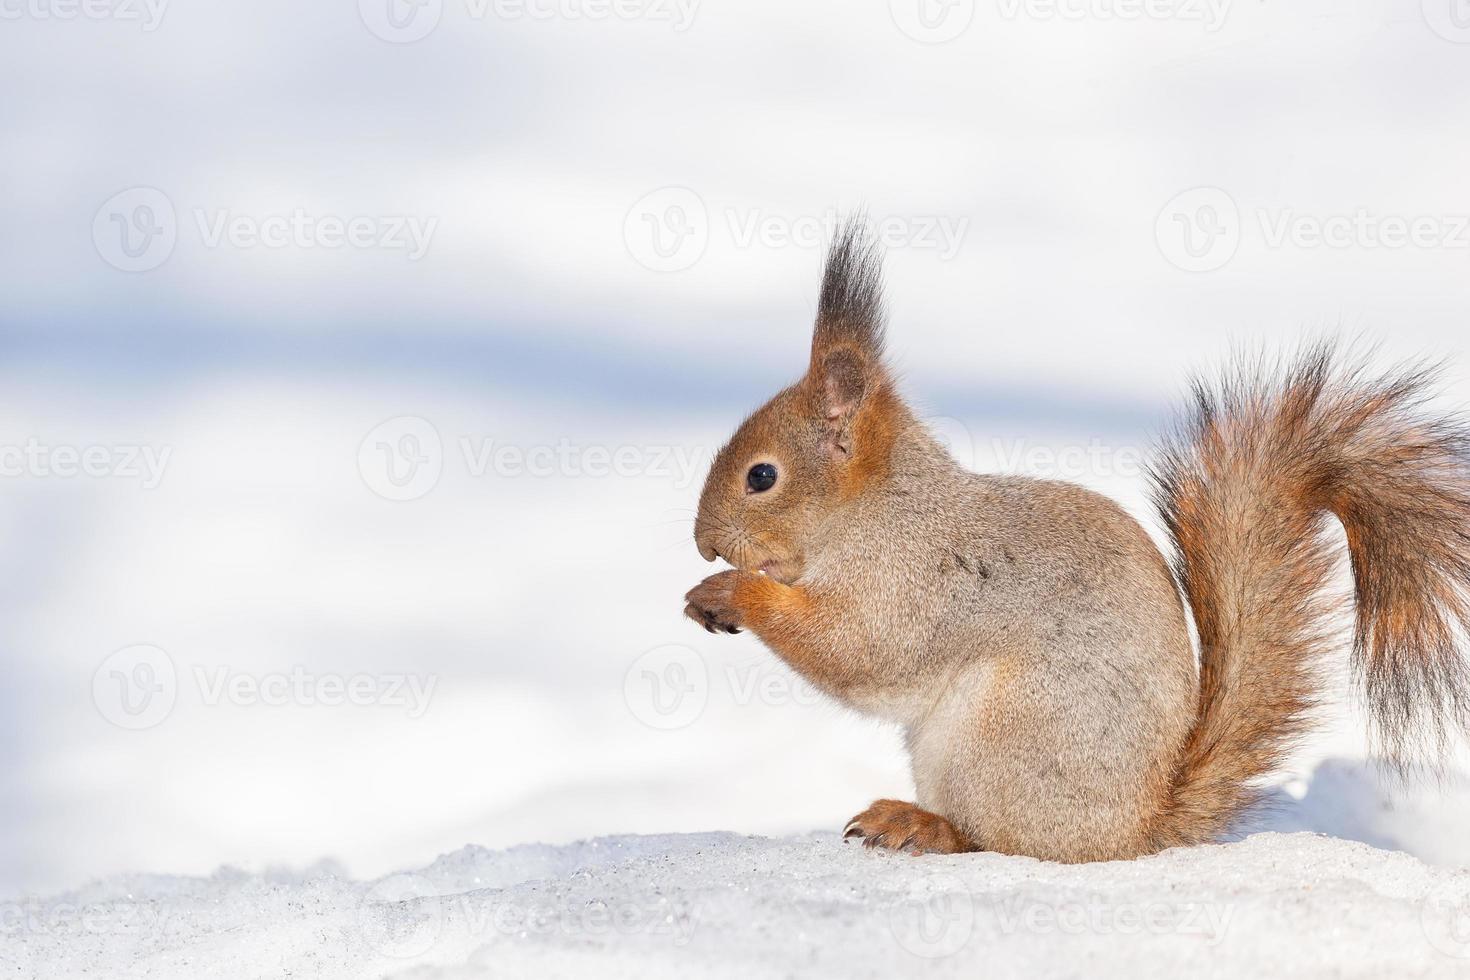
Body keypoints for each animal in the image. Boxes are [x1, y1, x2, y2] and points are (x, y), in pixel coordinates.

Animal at [682, 224, 1470, 863]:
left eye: (761, 477)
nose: (702, 543)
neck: (878, 511)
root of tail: (1136, 831)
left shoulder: (915, 583)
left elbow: (856, 650)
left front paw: (732, 593)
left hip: (1004, 737)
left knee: (1006, 841)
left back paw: (922, 826)